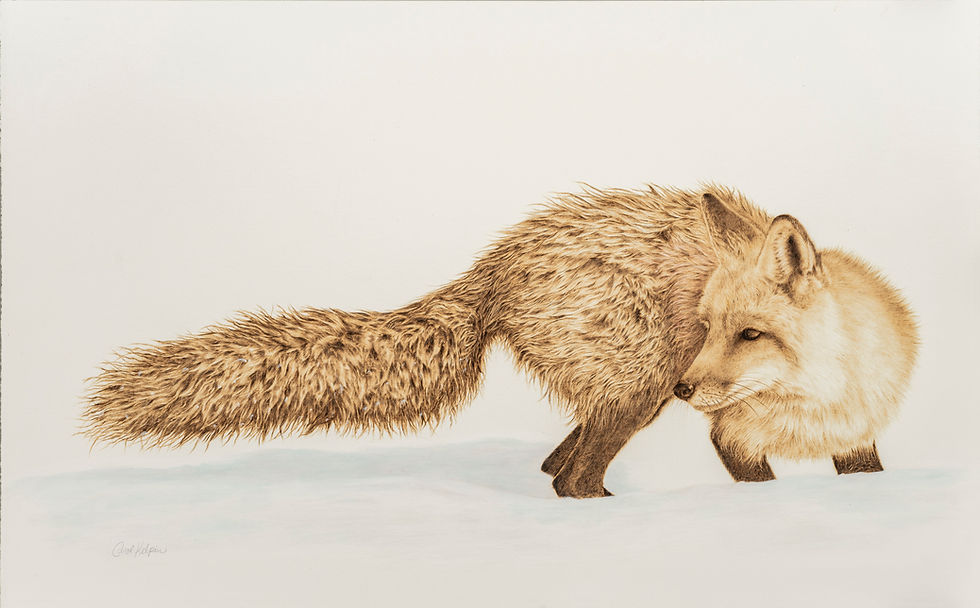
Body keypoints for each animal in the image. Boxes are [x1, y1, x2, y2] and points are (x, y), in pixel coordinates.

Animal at [82, 185, 918, 498]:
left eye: (749, 332)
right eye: (709, 327)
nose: (692, 386)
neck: (810, 404)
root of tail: (499, 263)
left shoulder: (858, 439)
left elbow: (865, 475)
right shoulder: (733, 438)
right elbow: (758, 483)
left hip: (634, 391)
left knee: (558, 461)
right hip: (640, 387)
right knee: (571, 477)